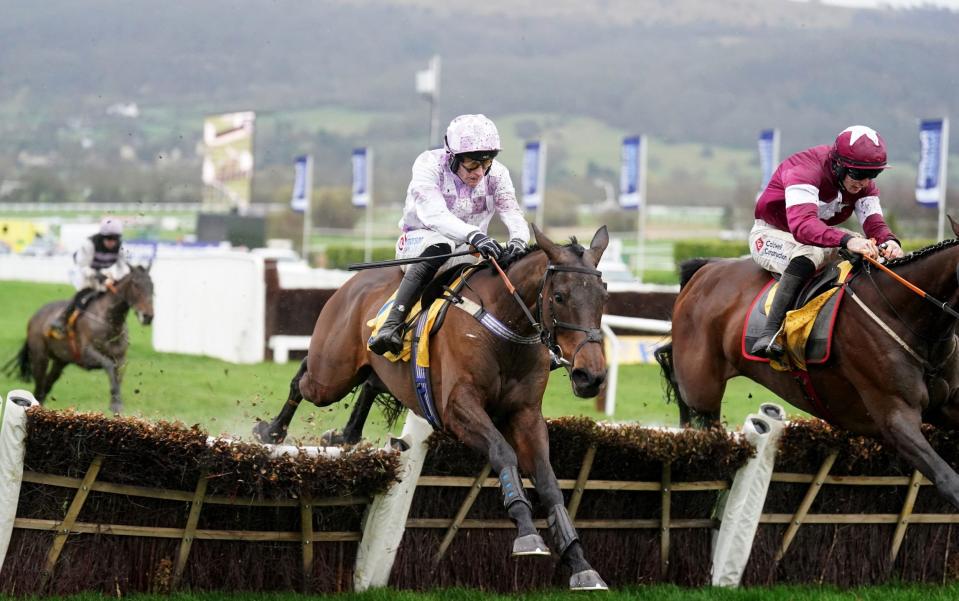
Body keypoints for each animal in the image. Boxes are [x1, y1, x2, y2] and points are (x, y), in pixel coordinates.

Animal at [2, 266, 154, 412]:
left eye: (152, 286)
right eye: (136, 285)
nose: (148, 316)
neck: (110, 323)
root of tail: (34, 316)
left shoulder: (121, 358)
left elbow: (117, 376)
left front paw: (116, 403)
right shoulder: (87, 355)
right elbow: (109, 365)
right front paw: (115, 405)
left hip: (60, 361)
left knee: (47, 385)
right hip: (40, 357)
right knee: (39, 387)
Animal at [255, 223, 612, 588]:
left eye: (603, 296)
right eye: (559, 296)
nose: (590, 376)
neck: (504, 327)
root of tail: (352, 284)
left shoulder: (526, 415)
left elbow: (549, 482)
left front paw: (580, 563)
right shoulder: (457, 408)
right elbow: (503, 453)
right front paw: (527, 533)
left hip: (372, 370)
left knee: (369, 383)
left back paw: (345, 436)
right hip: (331, 375)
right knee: (303, 377)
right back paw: (272, 431)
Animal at [660, 216, 959, 506]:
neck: (905, 316)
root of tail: (706, 269)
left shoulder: (945, 406)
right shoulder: (894, 416)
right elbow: (948, 481)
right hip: (701, 391)